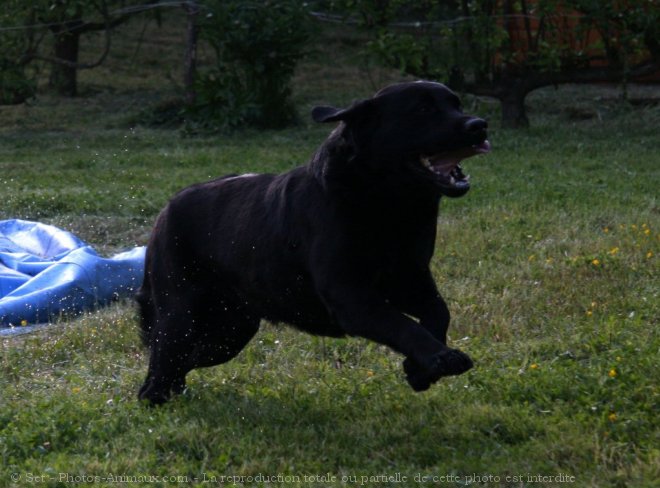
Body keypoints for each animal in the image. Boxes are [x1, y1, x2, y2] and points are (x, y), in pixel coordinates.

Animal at [138, 81, 490, 404]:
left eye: (456, 104)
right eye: (423, 109)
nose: (480, 125)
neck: (385, 204)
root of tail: (166, 210)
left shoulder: (410, 279)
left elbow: (438, 312)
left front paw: (418, 369)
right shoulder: (350, 296)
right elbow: (401, 324)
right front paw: (439, 358)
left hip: (231, 330)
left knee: (183, 361)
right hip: (180, 315)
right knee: (160, 365)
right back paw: (157, 400)